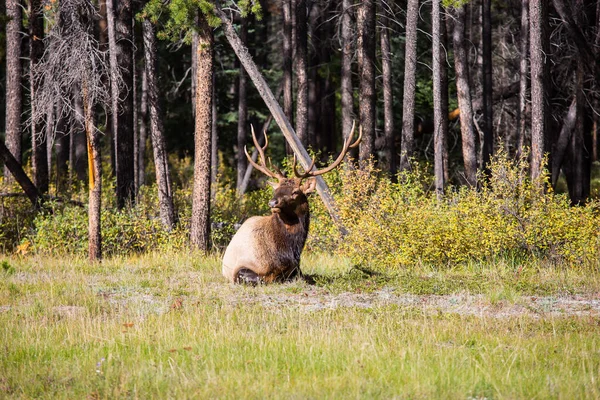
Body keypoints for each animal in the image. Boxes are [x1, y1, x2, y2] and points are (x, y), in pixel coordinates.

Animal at [221, 123, 358, 282]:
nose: (272, 203)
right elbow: (264, 279)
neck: (289, 251)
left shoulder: (297, 268)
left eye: (295, 192)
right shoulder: (241, 267)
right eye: (276, 190)